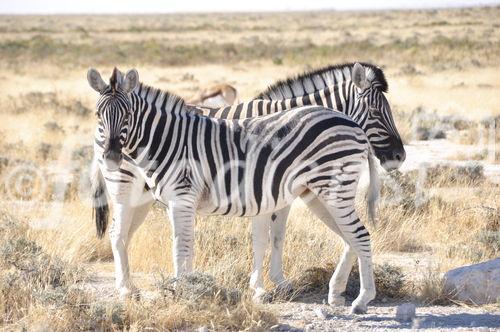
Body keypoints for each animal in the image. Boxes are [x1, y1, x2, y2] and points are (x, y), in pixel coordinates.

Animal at [88, 63, 404, 312]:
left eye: (128, 114)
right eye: (375, 111)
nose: (399, 156)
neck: (169, 137)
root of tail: (351, 126)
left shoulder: (260, 194)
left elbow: (262, 239)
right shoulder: (255, 195)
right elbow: (204, 244)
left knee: (358, 235)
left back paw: (360, 300)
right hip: (128, 191)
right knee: (118, 235)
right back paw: (127, 289)